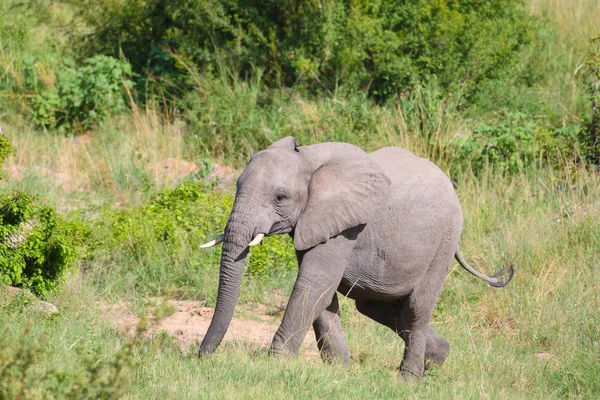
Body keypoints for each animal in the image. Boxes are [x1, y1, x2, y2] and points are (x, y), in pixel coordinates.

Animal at [196, 138, 510, 378]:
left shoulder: (345, 224)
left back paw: (409, 379)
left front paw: (276, 363)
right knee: (375, 305)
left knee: (416, 309)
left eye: (280, 198)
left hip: (444, 240)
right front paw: (339, 369)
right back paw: (438, 360)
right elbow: (321, 292)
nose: (201, 358)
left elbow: (313, 284)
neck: (308, 157)